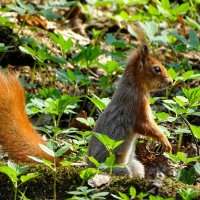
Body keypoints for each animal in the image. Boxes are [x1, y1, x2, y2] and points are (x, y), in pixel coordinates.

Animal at [88, 30, 173, 177]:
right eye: (157, 69)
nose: (171, 81)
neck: (135, 85)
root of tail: (89, 167)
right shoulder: (135, 107)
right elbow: (146, 126)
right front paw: (165, 142)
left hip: (136, 166)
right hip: (113, 168)